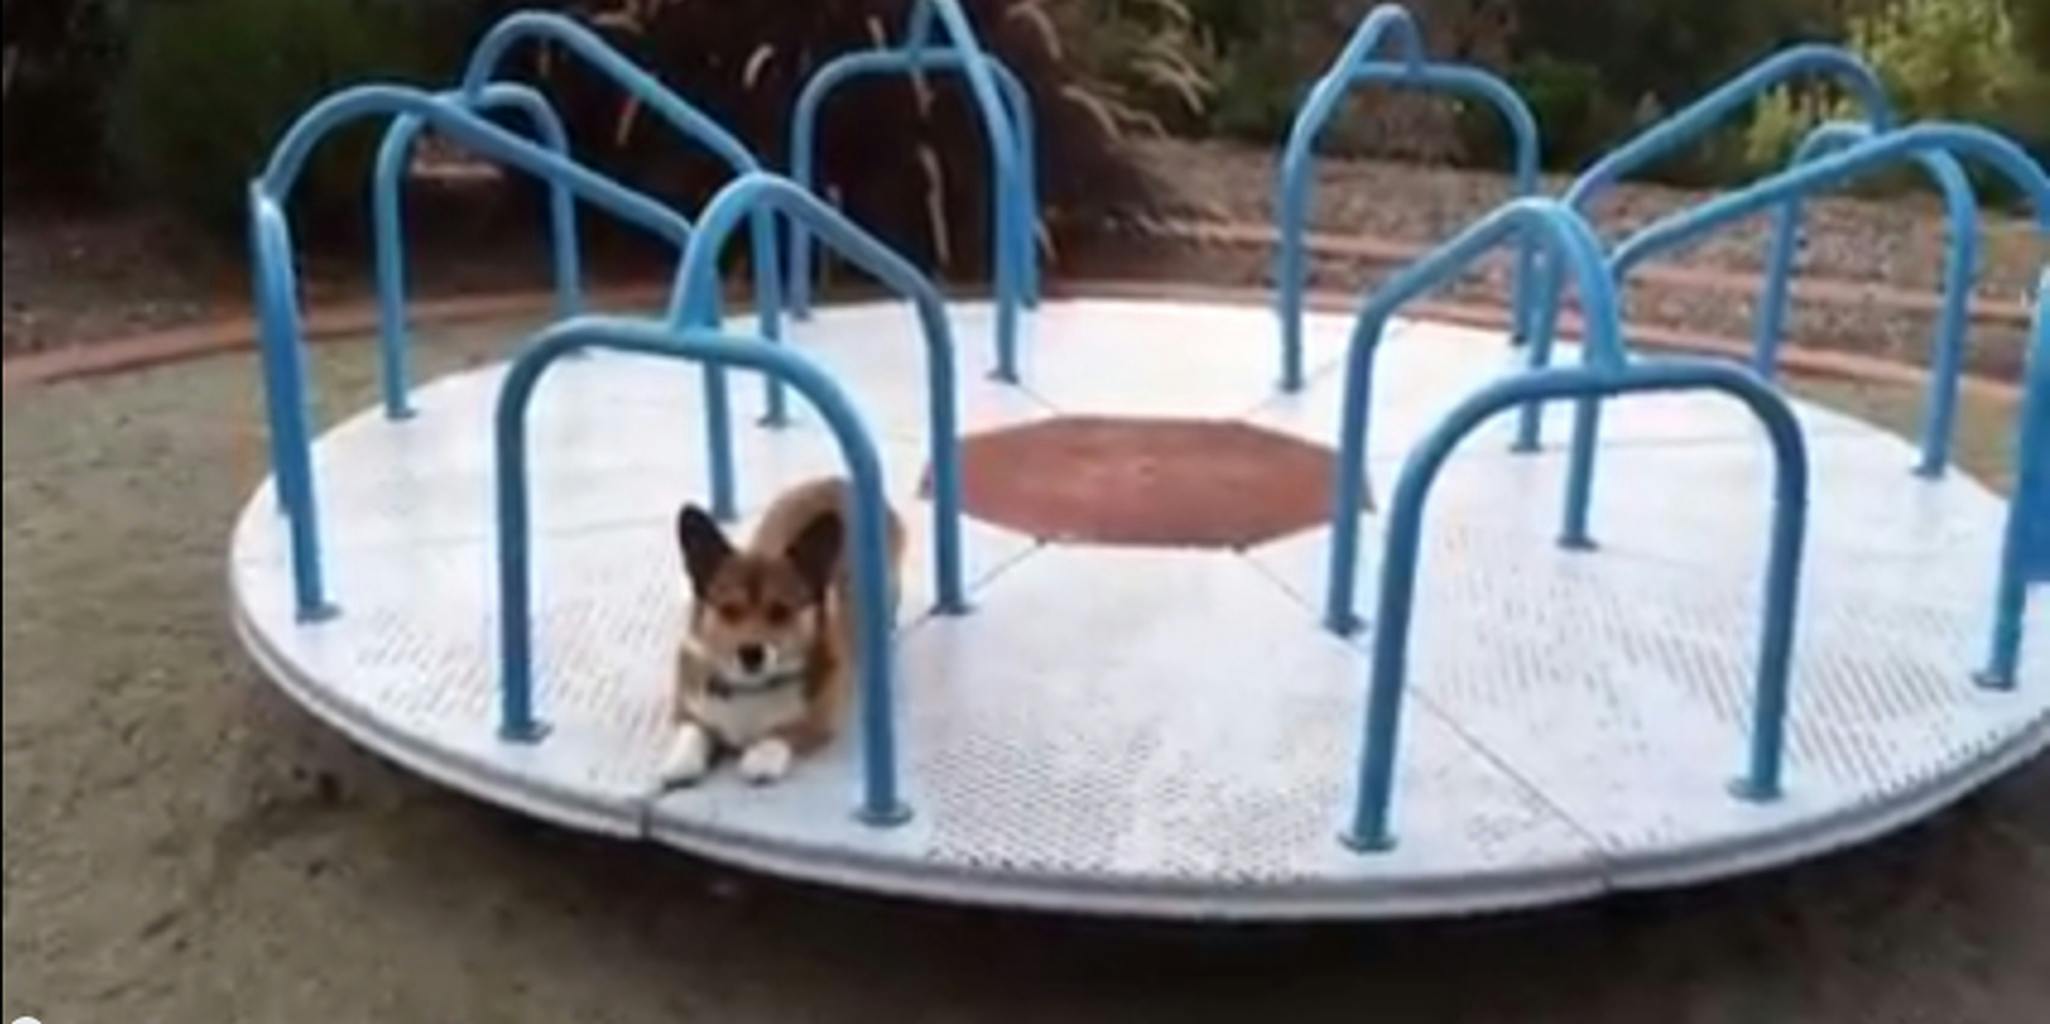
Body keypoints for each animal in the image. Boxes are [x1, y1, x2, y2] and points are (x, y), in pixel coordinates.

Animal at [664, 477, 906, 782]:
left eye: (780, 611)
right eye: (729, 610)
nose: (751, 654)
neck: (751, 689)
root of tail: (840, 480)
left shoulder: (818, 723)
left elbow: (783, 733)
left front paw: (761, 756)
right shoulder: (687, 708)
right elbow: (693, 729)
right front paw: (680, 761)